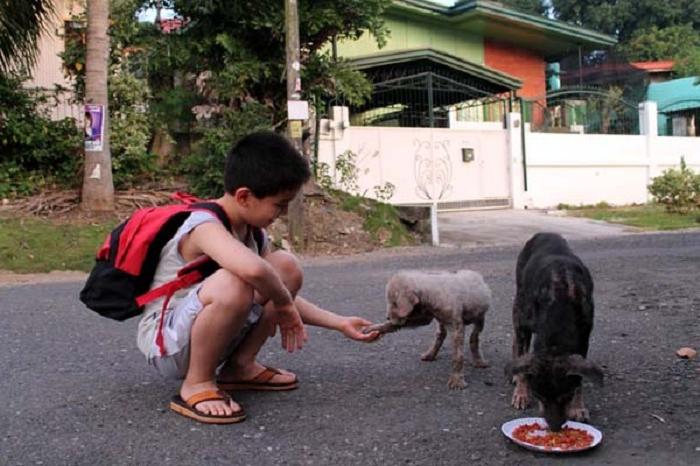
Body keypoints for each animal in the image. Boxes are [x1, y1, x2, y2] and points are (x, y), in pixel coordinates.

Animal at [506, 231, 604, 432]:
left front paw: (578, 407)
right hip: (519, 305)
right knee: (518, 341)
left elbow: (579, 378)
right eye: (540, 397)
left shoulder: (584, 337)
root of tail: (544, 233)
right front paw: (521, 392)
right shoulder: (525, 322)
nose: (555, 428)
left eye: (566, 396)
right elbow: (524, 360)